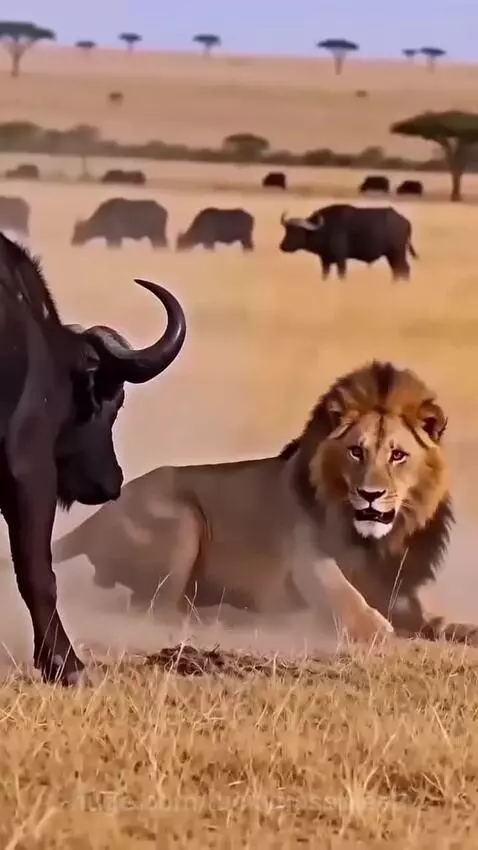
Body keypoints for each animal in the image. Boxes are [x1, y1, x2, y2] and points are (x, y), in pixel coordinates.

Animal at [52, 360, 478, 646]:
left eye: (398, 456)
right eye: (357, 451)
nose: (370, 494)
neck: (376, 540)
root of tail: (96, 517)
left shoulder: (397, 587)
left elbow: (436, 619)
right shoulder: (307, 560)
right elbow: (345, 597)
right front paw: (373, 629)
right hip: (182, 518)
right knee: (152, 610)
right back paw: (225, 617)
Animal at [279, 204, 418, 281]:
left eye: (297, 231)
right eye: (287, 230)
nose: (282, 246)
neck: (324, 229)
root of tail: (405, 221)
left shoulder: (341, 259)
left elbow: (342, 275)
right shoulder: (325, 261)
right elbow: (324, 276)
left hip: (397, 253)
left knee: (404, 270)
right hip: (391, 255)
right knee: (397, 271)